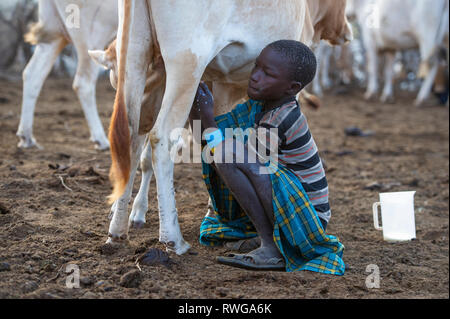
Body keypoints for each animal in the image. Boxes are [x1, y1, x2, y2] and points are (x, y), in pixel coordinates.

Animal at [17, 0, 118, 151]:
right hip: (93, 34)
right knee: (83, 83)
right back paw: (101, 139)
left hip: (54, 33)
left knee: (32, 74)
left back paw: (26, 137)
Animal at [100, 0, 354, 255]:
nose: (347, 32)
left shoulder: (219, 83)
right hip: (187, 62)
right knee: (161, 138)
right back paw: (173, 239)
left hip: (135, 54)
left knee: (131, 138)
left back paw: (117, 231)